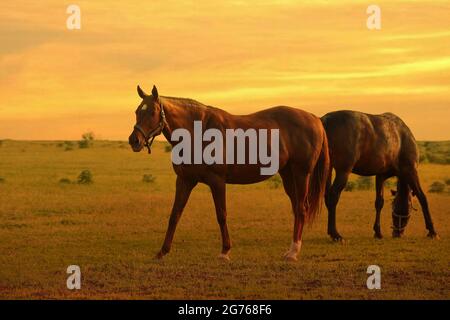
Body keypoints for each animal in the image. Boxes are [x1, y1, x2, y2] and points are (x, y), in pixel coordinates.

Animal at [128, 85, 328, 260]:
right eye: (137, 111)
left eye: (152, 112)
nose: (134, 140)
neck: (198, 132)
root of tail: (314, 119)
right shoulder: (185, 180)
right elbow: (175, 215)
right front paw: (162, 251)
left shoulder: (217, 181)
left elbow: (221, 214)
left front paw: (225, 251)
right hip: (287, 174)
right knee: (297, 208)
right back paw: (291, 249)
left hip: (301, 174)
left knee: (301, 208)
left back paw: (293, 252)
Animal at [322, 110, 438, 240]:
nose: (397, 233)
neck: (402, 137)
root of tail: (325, 120)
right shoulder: (411, 171)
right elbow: (422, 198)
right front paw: (432, 231)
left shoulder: (380, 176)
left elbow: (379, 202)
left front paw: (377, 232)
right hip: (343, 171)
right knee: (333, 196)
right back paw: (335, 234)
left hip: (328, 169)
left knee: (327, 196)